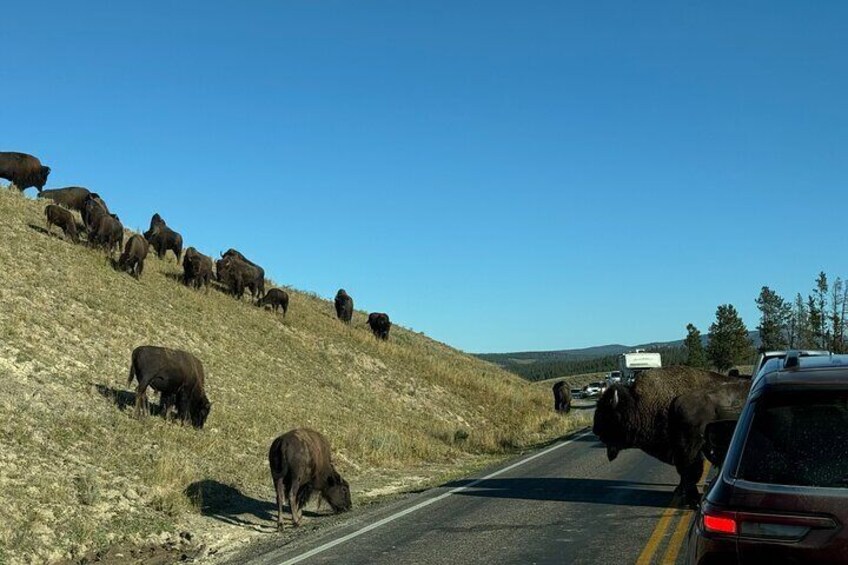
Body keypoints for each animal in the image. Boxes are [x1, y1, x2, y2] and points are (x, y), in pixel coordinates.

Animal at [588, 366, 748, 506]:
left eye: (607, 414)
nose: (596, 430)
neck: (641, 404)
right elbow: (686, 473)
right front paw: (683, 494)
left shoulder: (688, 449)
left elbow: (690, 471)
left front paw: (691, 500)